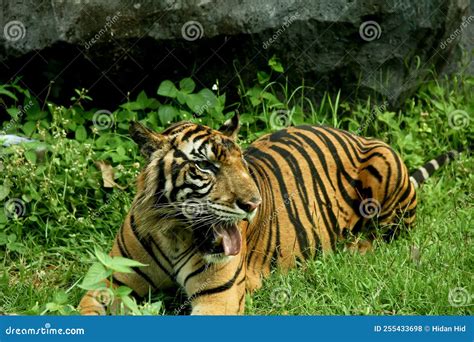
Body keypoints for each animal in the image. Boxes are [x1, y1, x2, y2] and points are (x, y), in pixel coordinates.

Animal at [78, 113, 462, 316]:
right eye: (206, 166)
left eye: (241, 164)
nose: (253, 204)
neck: (174, 231)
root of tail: (351, 133)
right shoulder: (109, 279)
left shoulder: (219, 298)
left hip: (385, 163)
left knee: (390, 235)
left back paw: (354, 249)